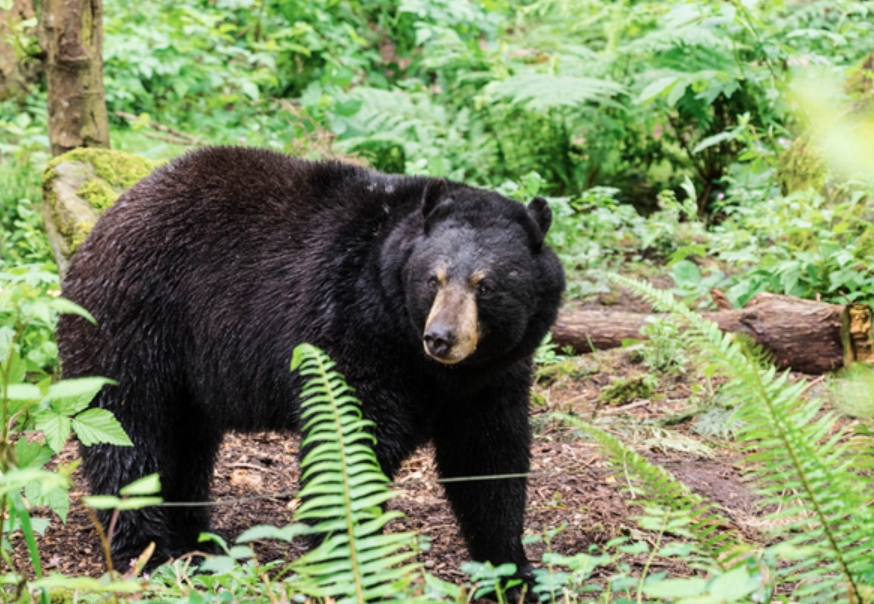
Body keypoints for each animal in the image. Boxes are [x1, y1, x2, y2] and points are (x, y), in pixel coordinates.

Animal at [59, 144, 564, 584]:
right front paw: (349, 561)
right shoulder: (354, 329)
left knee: (187, 445)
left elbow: (490, 459)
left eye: (486, 285)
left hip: (187, 373)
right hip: (135, 326)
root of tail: (99, 228)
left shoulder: (492, 380)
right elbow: (351, 441)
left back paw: (197, 540)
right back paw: (145, 552)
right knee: (129, 435)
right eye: (432, 279)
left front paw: (513, 570)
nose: (440, 337)